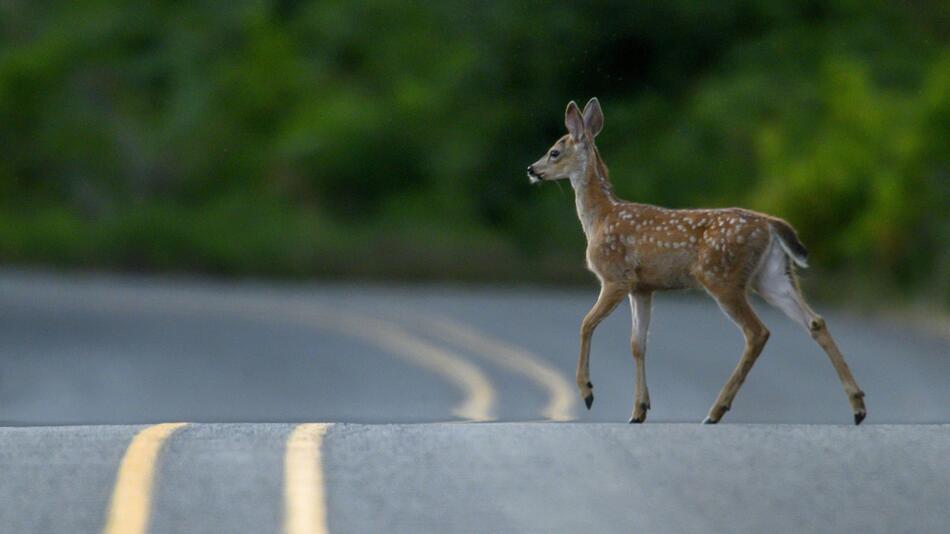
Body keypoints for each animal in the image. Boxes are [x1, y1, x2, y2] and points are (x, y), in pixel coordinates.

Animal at [528, 98, 872, 428]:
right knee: (814, 321)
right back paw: (858, 407)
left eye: (554, 151)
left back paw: (715, 411)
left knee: (757, 332)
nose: (532, 169)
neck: (600, 218)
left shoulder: (616, 276)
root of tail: (770, 224)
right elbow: (638, 343)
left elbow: (586, 323)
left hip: (722, 276)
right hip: (771, 276)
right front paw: (639, 410)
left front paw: (587, 392)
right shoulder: (642, 287)